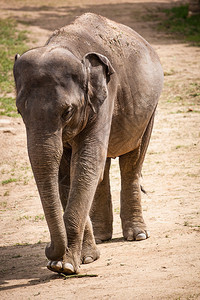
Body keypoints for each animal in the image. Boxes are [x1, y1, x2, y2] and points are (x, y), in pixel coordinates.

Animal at [13, 13, 163, 274]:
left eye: (67, 112)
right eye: (19, 111)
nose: (49, 249)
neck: (68, 46)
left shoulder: (105, 97)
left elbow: (84, 162)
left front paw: (65, 265)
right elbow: (68, 172)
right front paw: (77, 260)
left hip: (149, 110)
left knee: (132, 161)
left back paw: (138, 235)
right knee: (102, 170)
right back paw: (103, 237)